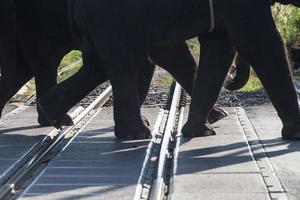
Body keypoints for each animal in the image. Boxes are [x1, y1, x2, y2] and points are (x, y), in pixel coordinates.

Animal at [37, 0, 300, 140]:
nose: (235, 76)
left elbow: (219, 46)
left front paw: (201, 132)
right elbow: (258, 42)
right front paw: (295, 134)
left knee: (101, 65)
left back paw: (54, 113)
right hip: (111, 19)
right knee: (123, 62)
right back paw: (137, 134)